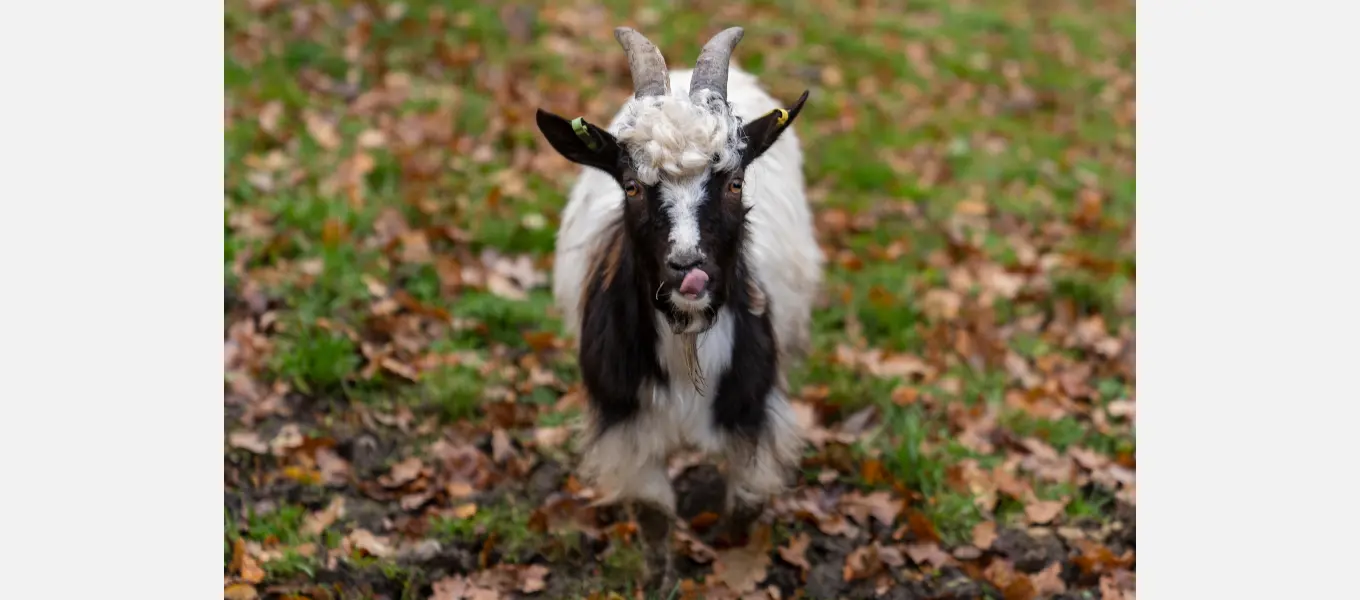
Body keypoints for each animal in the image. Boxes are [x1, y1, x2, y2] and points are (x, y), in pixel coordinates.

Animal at [535, 26, 823, 589]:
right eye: (630, 186)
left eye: (735, 182)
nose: (688, 267)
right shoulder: (627, 422)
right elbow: (653, 513)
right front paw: (659, 581)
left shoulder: (754, 411)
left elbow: (744, 507)